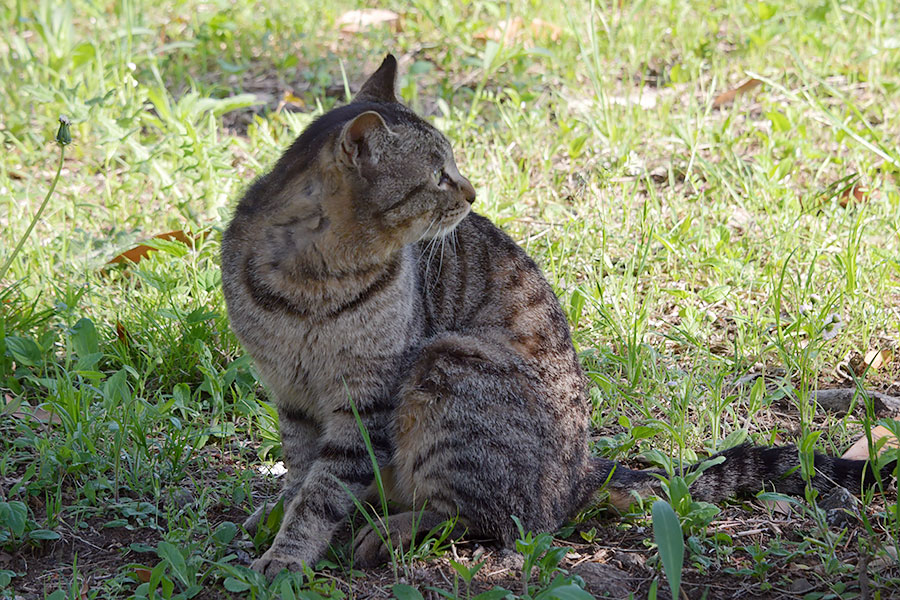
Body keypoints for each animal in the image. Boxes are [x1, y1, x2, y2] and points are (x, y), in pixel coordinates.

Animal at [220, 56, 884, 576]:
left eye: (454, 168)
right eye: (438, 176)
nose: (472, 193)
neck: (312, 277)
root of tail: (581, 473)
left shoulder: (366, 400)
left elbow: (323, 491)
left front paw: (287, 555)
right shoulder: (289, 394)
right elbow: (300, 474)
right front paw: (277, 517)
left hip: (451, 365)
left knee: (488, 517)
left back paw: (392, 529)